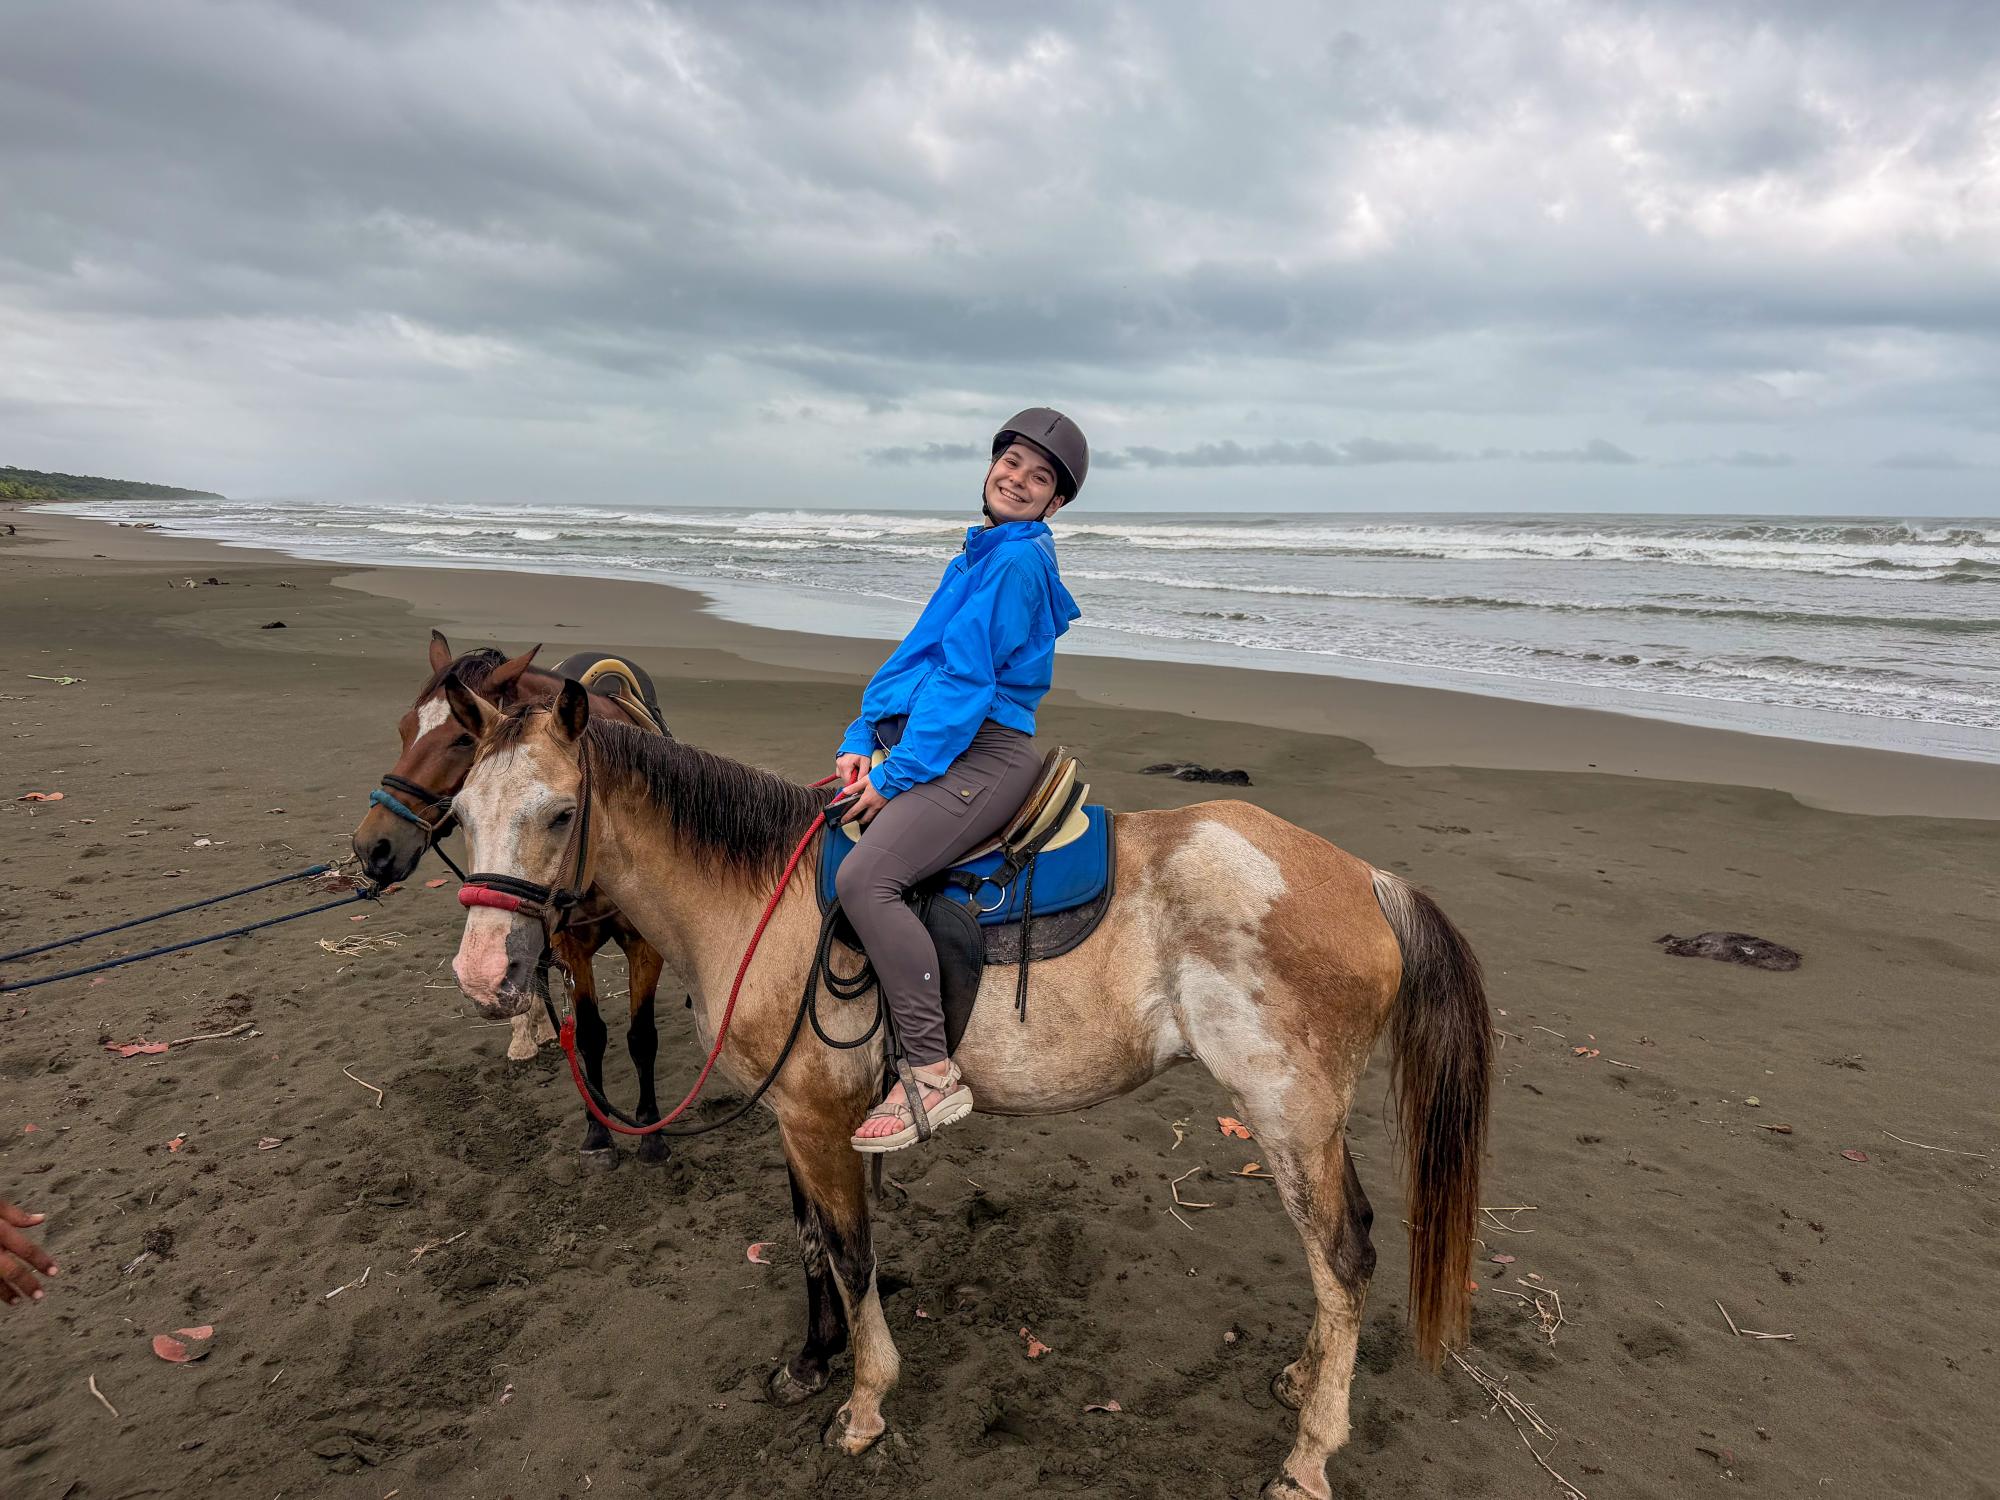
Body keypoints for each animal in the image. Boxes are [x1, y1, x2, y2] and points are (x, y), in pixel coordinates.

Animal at [349, 631, 675, 1168]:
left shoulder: (644, 944)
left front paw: (651, 1132)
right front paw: (598, 1131)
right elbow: (590, 1035)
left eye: (462, 739)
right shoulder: (568, 944)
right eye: (404, 729)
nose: (372, 846)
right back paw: (530, 1030)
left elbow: (641, 1037)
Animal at [443, 677, 1492, 1500]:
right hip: (1305, 1126)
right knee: (1346, 1250)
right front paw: (812, 1362)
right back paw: (1303, 1383)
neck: (756, 901)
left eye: (561, 813)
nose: (486, 973)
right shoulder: (798, 1118)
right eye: (459, 813)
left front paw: (863, 1405)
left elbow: (850, 1252)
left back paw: (1308, 1459)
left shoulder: (817, 1119)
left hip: (1286, 1117)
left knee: (1341, 1260)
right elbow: (812, 1242)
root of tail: (1365, 879)